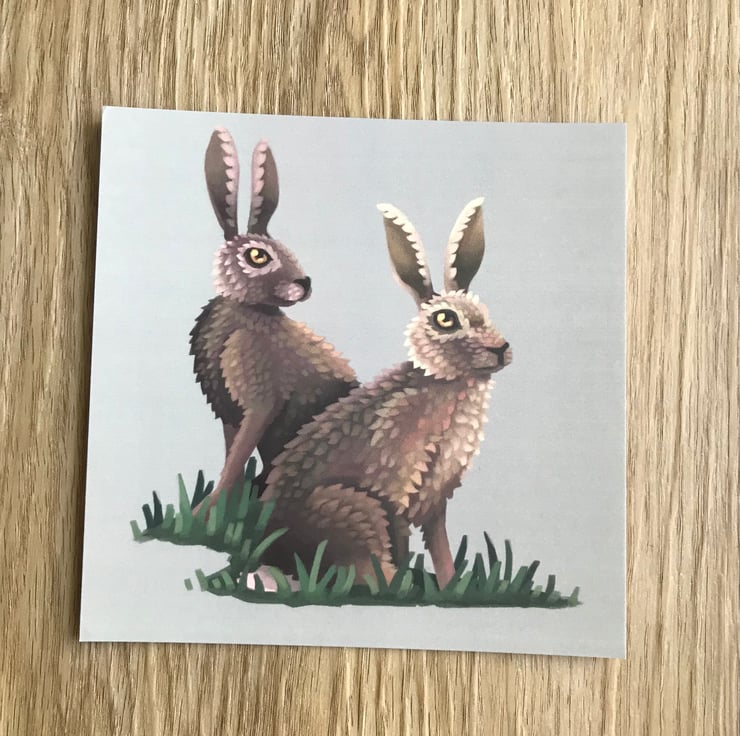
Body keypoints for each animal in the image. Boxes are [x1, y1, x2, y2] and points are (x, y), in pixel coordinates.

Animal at [190, 127, 358, 508]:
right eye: (258, 256)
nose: (305, 283)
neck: (250, 312)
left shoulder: (260, 401)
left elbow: (236, 457)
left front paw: (204, 511)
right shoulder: (230, 413)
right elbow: (232, 456)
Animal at [262, 197, 512, 589]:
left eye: (483, 313)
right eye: (445, 320)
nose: (500, 349)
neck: (444, 381)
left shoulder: (437, 498)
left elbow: (440, 544)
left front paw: (449, 585)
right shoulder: (396, 487)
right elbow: (404, 542)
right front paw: (407, 588)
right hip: (351, 508)